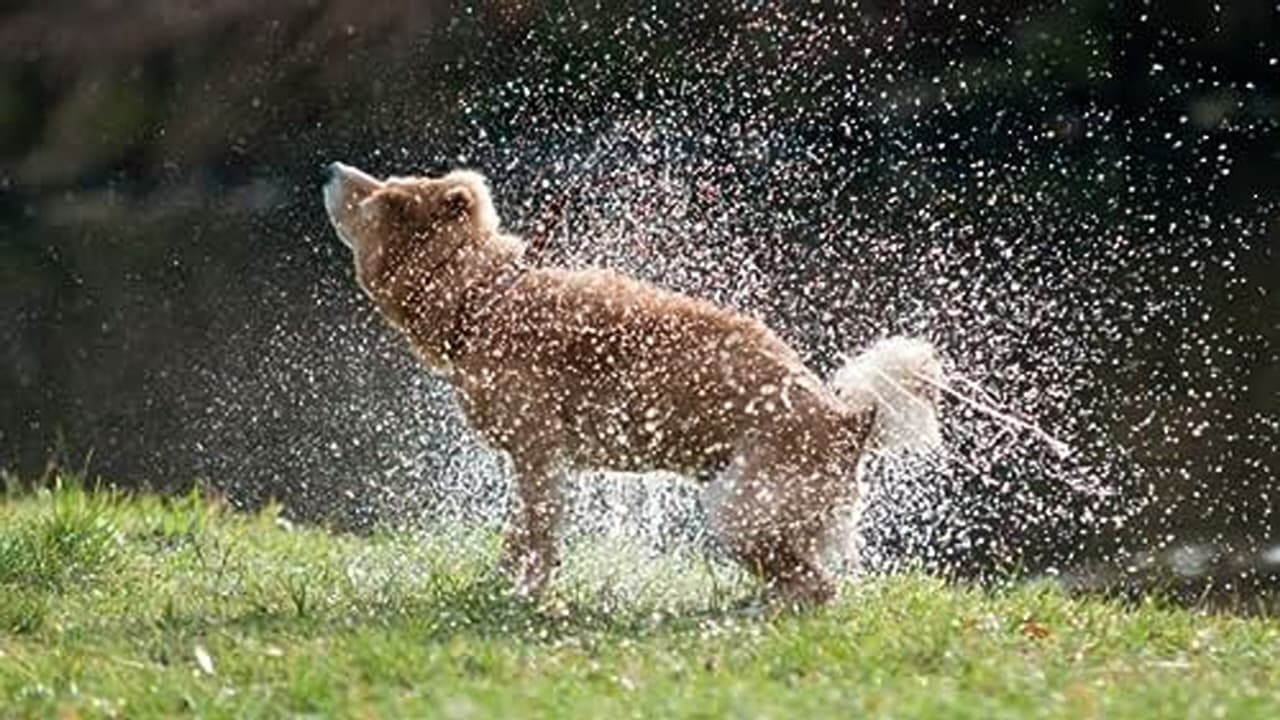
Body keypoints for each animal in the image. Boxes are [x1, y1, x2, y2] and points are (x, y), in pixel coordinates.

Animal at [320, 161, 942, 599]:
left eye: (388, 197)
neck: (484, 297)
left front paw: (526, 598)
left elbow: (537, 537)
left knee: (817, 588)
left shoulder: (538, 454)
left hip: (739, 510)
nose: (329, 169)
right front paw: (501, 585)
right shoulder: (540, 463)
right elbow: (519, 536)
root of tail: (849, 421)